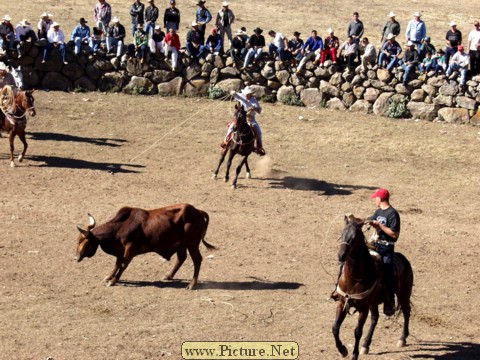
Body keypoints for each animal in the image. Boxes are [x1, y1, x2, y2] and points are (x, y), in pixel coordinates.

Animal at [75, 204, 216, 288]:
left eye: (81, 241)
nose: (76, 257)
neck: (121, 226)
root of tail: (198, 212)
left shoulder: (130, 249)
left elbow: (123, 264)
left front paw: (113, 281)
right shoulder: (121, 250)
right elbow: (117, 263)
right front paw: (109, 277)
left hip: (192, 244)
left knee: (197, 259)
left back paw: (192, 284)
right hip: (182, 245)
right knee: (181, 258)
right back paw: (169, 276)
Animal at [334, 215, 412, 358]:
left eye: (354, 237)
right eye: (342, 234)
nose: (341, 255)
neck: (354, 278)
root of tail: (405, 260)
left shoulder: (363, 308)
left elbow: (358, 332)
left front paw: (354, 355)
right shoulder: (342, 303)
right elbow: (335, 328)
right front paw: (343, 350)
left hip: (404, 294)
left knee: (406, 312)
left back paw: (402, 339)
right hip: (374, 302)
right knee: (375, 318)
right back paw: (366, 345)